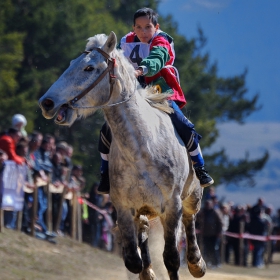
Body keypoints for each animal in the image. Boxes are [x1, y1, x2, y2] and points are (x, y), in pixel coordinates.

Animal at [38, 31, 206, 278]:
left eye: (89, 68)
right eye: (71, 63)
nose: (47, 103)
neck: (143, 149)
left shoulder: (171, 206)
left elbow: (172, 258)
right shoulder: (124, 208)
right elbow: (133, 261)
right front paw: (146, 271)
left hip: (192, 195)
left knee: (190, 218)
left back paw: (196, 262)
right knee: (144, 232)